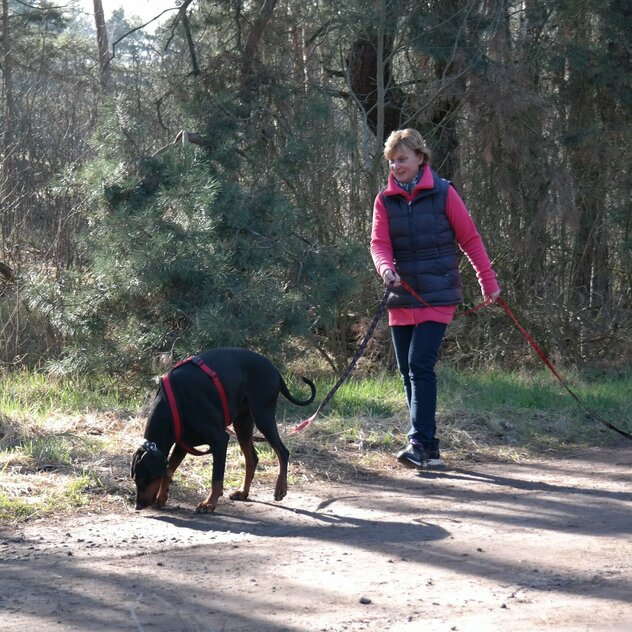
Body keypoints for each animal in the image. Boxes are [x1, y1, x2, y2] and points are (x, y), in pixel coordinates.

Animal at [131, 346, 316, 512]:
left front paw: (209, 504)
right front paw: (162, 498)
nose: (138, 506)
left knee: (282, 452)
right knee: (252, 458)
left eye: (144, 479)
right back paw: (243, 492)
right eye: (135, 478)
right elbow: (168, 471)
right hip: (243, 423)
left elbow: (216, 478)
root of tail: (274, 369)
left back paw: (280, 489)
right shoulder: (183, 443)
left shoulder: (219, 440)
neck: (172, 406)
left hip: (263, 415)